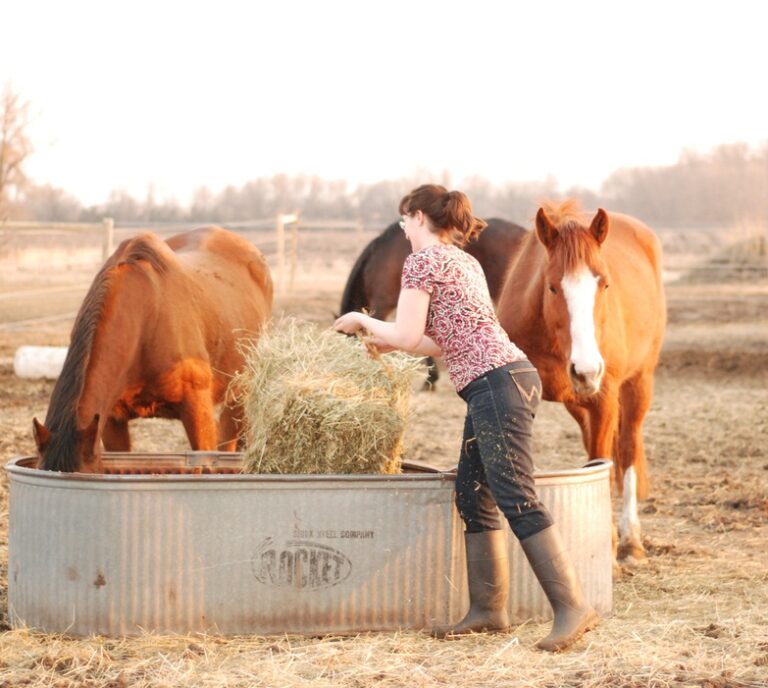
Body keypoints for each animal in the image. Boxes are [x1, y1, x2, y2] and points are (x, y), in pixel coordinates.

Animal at [498, 200, 664, 564]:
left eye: (604, 284)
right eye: (552, 286)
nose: (587, 371)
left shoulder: (604, 399)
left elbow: (604, 463)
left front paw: (611, 548)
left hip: (638, 384)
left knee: (627, 449)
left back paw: (630, 541)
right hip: (578, 403)